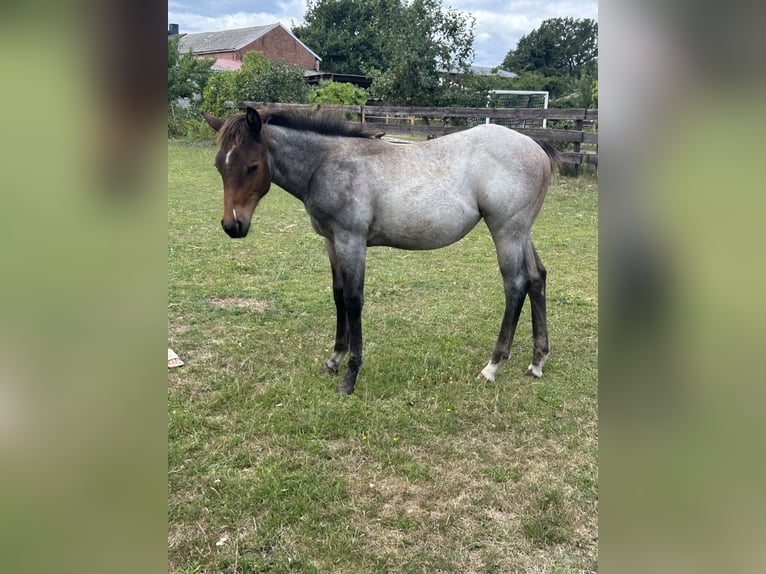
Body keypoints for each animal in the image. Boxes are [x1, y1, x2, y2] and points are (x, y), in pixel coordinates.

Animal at [203, 107, 557, 395]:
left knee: (515, 285)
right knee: (537, 277)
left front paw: (350, 376)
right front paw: (333, 360)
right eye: (219, 165)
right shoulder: (331, 241)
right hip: (520, 233)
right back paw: (537, 362)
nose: (233, 225)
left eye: (252, 166)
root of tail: (536, 148)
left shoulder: (351, 240)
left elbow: (353, 300)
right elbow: (338, 295)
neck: (325, 163)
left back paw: (493, 366)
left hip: (506, 232)